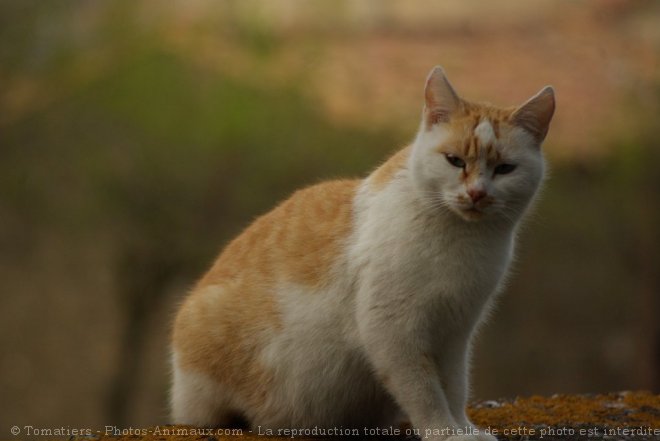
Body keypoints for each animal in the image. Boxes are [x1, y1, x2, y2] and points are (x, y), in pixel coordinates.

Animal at [171, 66, 556, 440]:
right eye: (455, 160)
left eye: (505, 169)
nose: (477, 194)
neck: (464, 239)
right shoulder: (393, 328)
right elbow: (425, 390)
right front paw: (444, 432)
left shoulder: (456, 332)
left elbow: (455, 387)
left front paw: (464, 428)